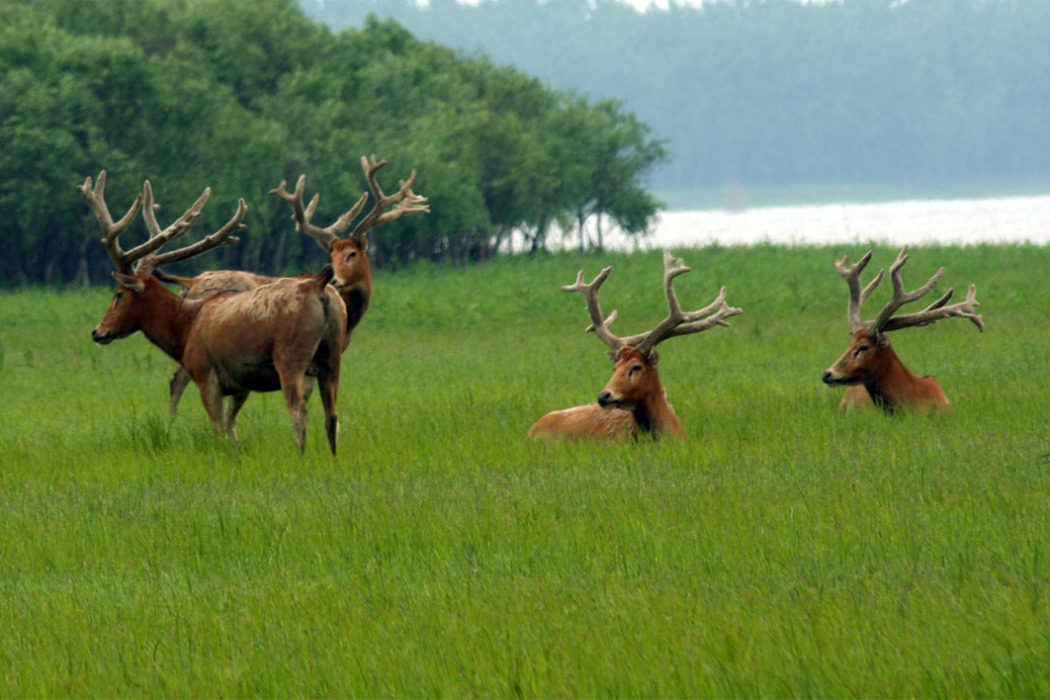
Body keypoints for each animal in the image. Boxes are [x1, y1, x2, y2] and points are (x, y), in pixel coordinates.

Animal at [82, 172, 344, 451]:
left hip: (290, 356)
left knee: (299, 414)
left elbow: (219, 429)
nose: (98, 331)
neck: (184, 331)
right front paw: (237, 451)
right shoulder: (241, 384)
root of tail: (319, 286)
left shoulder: (205, 373)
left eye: (119, 295)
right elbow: (232, 426)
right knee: (332, 416)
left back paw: (300, 456)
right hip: (332, 356)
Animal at [153, 154, 430, 415]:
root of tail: (191, 282)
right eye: (332, 255)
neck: (351, 316)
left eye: (352, 254)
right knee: (178, 379)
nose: (336, 280)